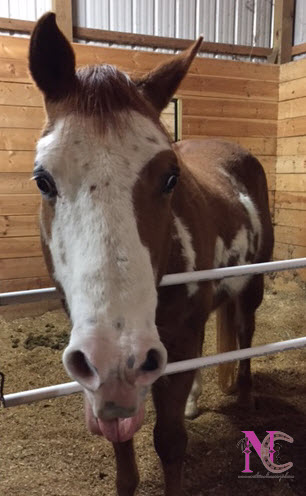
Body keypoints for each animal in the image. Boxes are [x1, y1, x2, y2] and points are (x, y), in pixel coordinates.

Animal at [28, 12, 272, 496]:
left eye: (171, 177)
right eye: (43, 179)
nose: (116, 357)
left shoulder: (174, 344)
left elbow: (170, 441)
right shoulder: (106, 379)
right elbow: (124, 458)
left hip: (250, 288)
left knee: (245, 335)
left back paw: (247, 395)